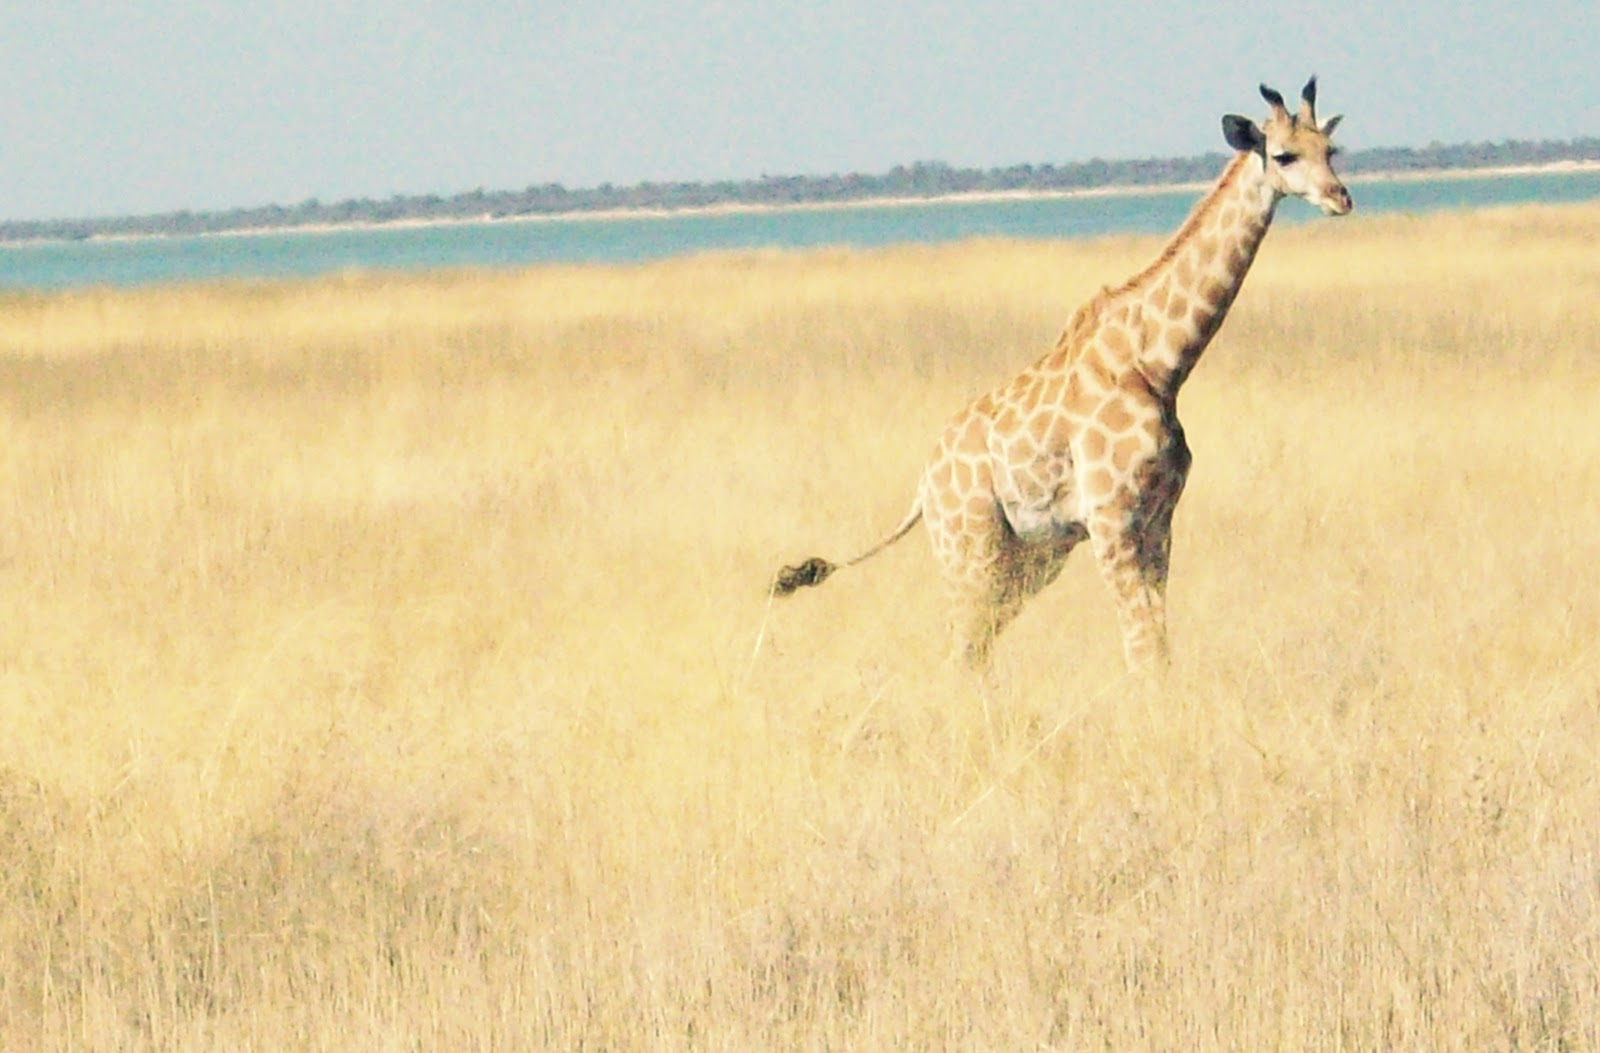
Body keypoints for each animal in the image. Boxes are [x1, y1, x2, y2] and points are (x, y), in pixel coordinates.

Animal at [773, 77, 1351, 675]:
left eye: (1330, 150)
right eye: (1283, 155)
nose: (1340, 198)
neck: (1160, 365)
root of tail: (923, 484)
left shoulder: (1159, 519)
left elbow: (1157, 645)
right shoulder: (1111, 519)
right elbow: (1142, 647)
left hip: (1031, 554)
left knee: (976, 646)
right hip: (968, 544)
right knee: (959, 646)